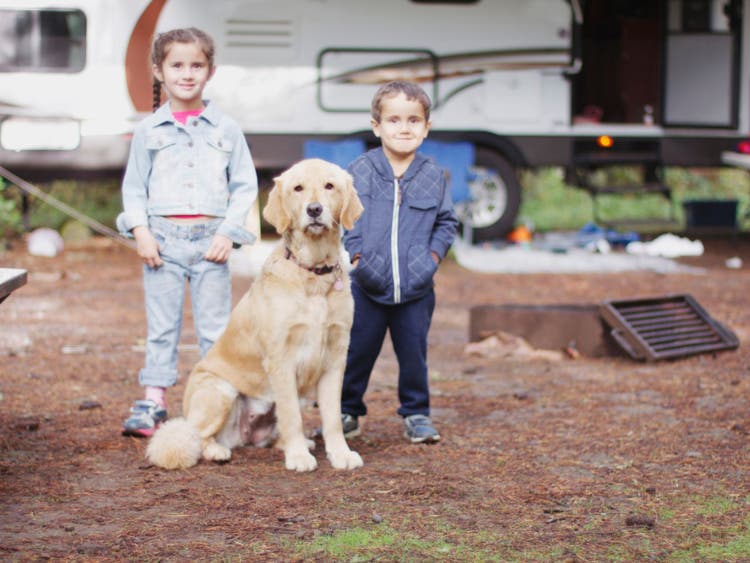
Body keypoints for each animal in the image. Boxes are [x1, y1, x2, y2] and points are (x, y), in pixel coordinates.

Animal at [145, 158, 368, 472]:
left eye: (329, 186)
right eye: (298, 188)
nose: (314, 209)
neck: (313, 273)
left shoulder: (335, 358)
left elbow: (333, 417)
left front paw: (340, 454)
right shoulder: (281, 360)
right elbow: (291, 415)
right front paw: (299, 457)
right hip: (219, 391)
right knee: (194, 436)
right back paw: (218, 451)